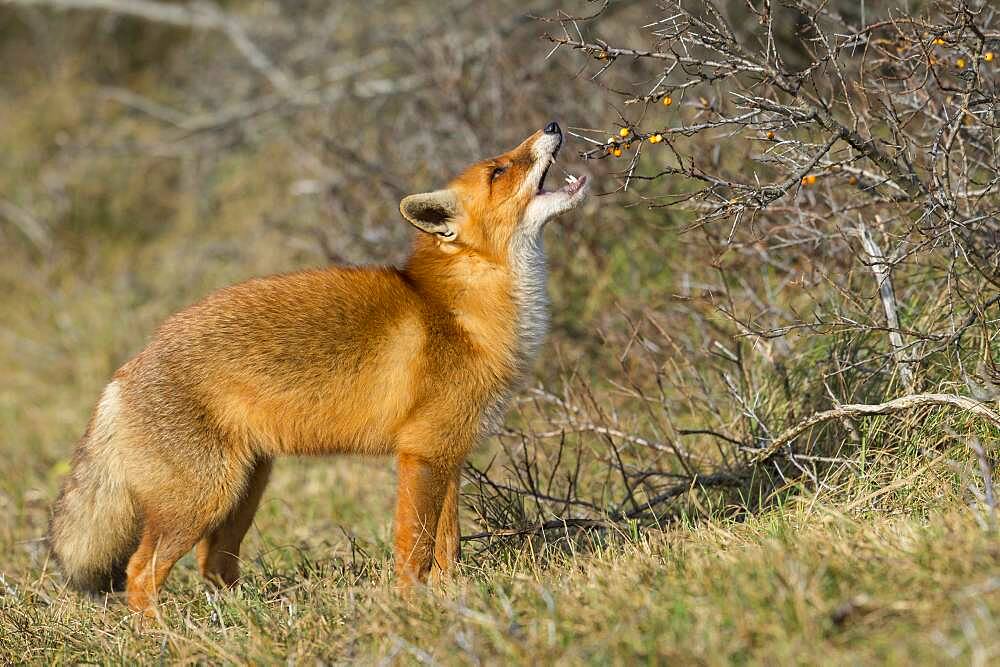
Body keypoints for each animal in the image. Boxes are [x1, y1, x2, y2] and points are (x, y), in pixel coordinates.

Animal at [50, 122, 588, 612]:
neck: (464, 312)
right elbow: (414, 550)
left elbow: (447, 548)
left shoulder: (448, 455)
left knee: (213, 564)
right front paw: (414, 608)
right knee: (140, 572)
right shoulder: (421, 454)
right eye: (499, 170)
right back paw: (165, 636)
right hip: (203, 498)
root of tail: (126, 369)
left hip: (242, 492)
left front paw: (453, 598)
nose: (553, 126)